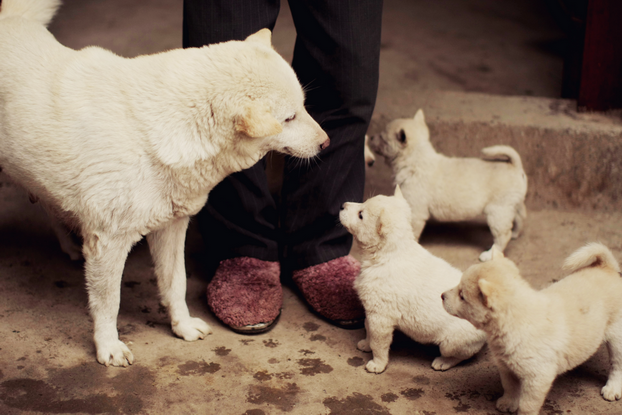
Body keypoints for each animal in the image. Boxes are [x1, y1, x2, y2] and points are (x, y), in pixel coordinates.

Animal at [0, 0, 332, 368]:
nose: (327, 143)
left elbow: (176, 283)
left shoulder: (171, 227)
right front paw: (107, 346)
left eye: (302, 108)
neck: (159, 128)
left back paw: (70, 245)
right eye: (288, 118)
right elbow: (109, 303)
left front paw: (182, 326)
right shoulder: (109, 243)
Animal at [338, 187, 486, 376]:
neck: (388, 255)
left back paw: (442, 362)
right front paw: (366, 343)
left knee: (462, 355)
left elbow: (379, 343)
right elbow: (367, 327)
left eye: (361, 215)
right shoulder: (372, 313)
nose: (342, 205)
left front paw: (377, 364)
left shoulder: (380, 317)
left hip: (451, 343)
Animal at [370, 109, 532, 262]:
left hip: (497, 212)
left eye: (382, 138)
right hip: (512, 206)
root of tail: (515, 165)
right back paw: (515, 234)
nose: (371, 137)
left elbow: (412, 231)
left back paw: (489, 254)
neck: (416, 159)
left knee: (503, 235)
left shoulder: (416, 212)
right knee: (519, 219)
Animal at [444, 244, 622, 415]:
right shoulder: (506, 367)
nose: (442, 296)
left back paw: (612, 388)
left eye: (462, 296)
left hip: (616, 340)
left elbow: (527, 405)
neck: (516, 322)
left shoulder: (538, 377)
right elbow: (509, 387)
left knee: (617, 366)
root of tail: (608, 268)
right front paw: (508, 402)